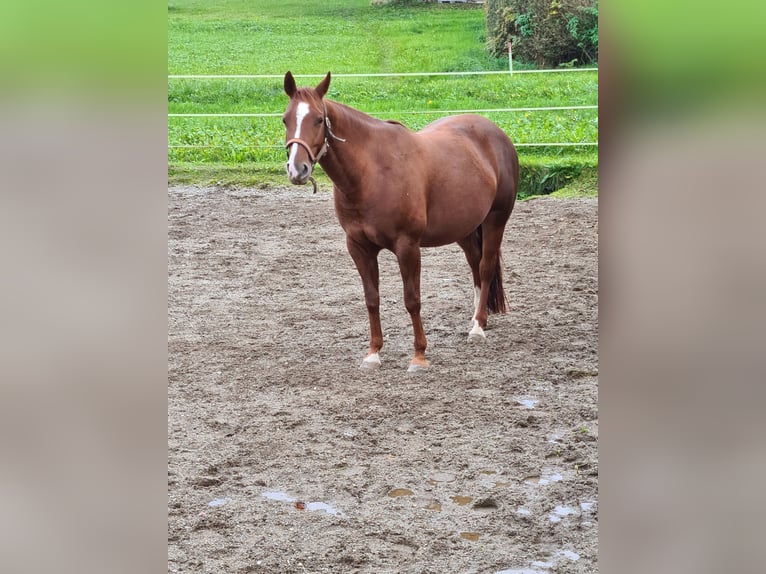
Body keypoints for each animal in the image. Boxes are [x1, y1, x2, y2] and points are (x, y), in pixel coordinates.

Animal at [282, 71, 518, 372]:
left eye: (318, 120)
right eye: (285, 119)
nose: (296, 169)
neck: (371, 173)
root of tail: (497, 133)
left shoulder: (407, 247)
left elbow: (412, 300)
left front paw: (419, 356)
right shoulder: (358, 247)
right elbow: (372, 299)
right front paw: (373, 353)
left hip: (495, 220)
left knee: (486, 267)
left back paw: (478, 327)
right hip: (464, 229)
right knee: (475, 265)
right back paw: (478, 318)